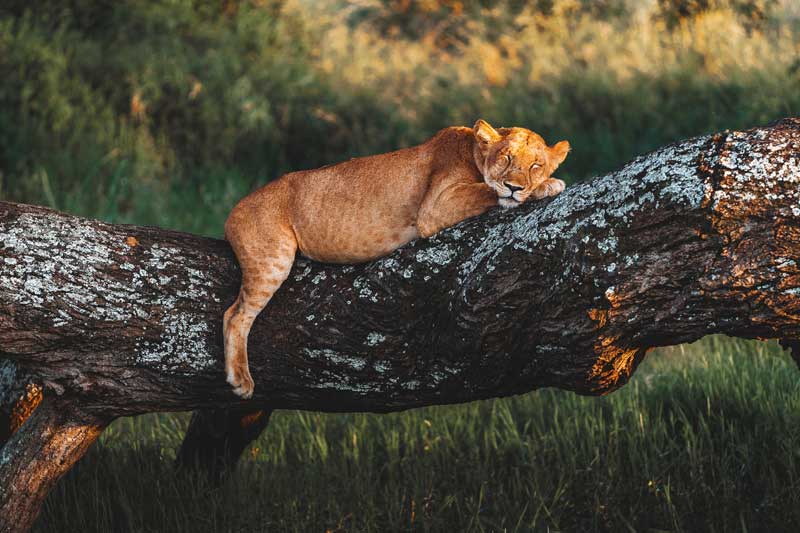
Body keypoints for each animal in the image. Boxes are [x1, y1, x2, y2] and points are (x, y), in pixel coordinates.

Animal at [222, 119, 568, 394]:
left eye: (535, 165)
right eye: (506, 157)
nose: (515, 186)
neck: (472, 151)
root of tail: (233, 210)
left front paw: (540, 185)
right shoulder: (435, 207)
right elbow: (490, 191)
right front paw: (547, 186)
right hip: (273, 259)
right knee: (234, 314)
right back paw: (240, 381)